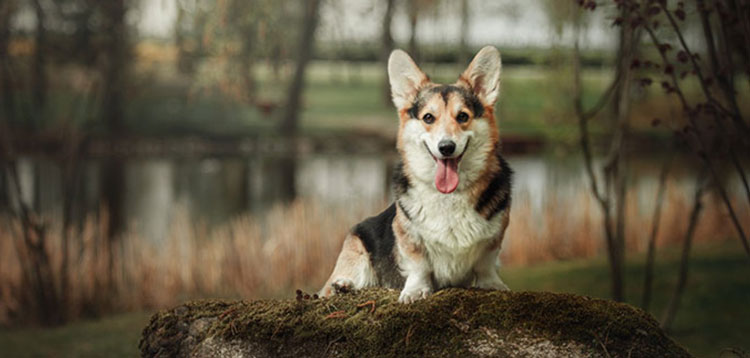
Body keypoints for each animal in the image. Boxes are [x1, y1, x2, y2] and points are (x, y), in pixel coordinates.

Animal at [320, 44, 516, 302]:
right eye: (428, 118)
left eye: (463, 116)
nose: (446, 147)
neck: (448, 196)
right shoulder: (408, 235)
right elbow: (418, 264)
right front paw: (415, 291)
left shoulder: (495, 237)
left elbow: (486, 263)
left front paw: (493, 285)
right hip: (357, 249)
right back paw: (342, 285)